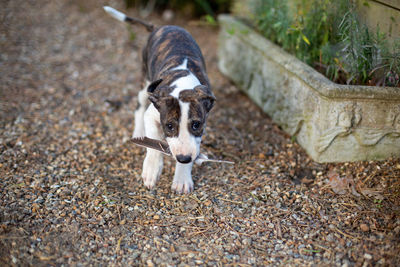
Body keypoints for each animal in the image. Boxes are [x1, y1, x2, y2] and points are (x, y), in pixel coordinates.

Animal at [104, 6, 216, 195]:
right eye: (169, 126)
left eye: (196, 125)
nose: (183, 158)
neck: (184, 85)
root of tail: (160, 27)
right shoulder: (152, 114)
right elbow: (154, 143)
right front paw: (151, 170)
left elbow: (193, 145)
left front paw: (182, 178)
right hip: (145, 82)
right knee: (138, 108)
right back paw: (138, 133)